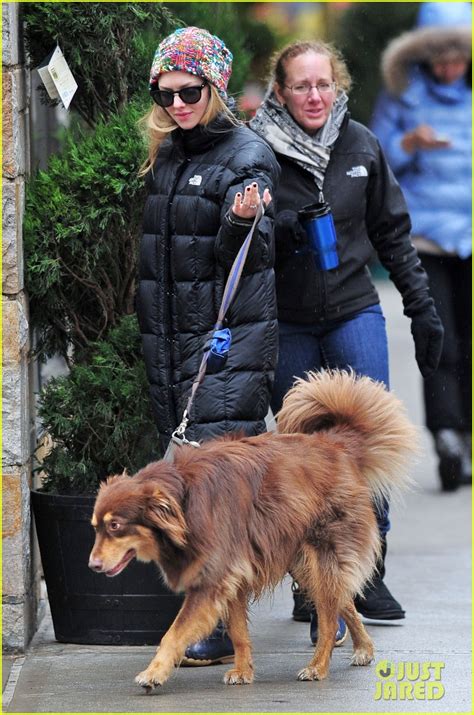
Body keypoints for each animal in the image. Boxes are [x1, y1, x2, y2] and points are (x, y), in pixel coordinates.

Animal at [88, 372, 414, 692]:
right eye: (95, 527)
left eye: (115, 526)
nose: (92, 565)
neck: (184, 500)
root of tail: (336, 445)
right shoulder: (233, 577)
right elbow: (237, 631)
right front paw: (244, 671)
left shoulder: (212, 579)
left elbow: (174, 633)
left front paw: (154, 673)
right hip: (304, 564)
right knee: (343, 602)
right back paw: (364, 649)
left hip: (323, 557)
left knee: (329, 620)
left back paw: (318, 667)